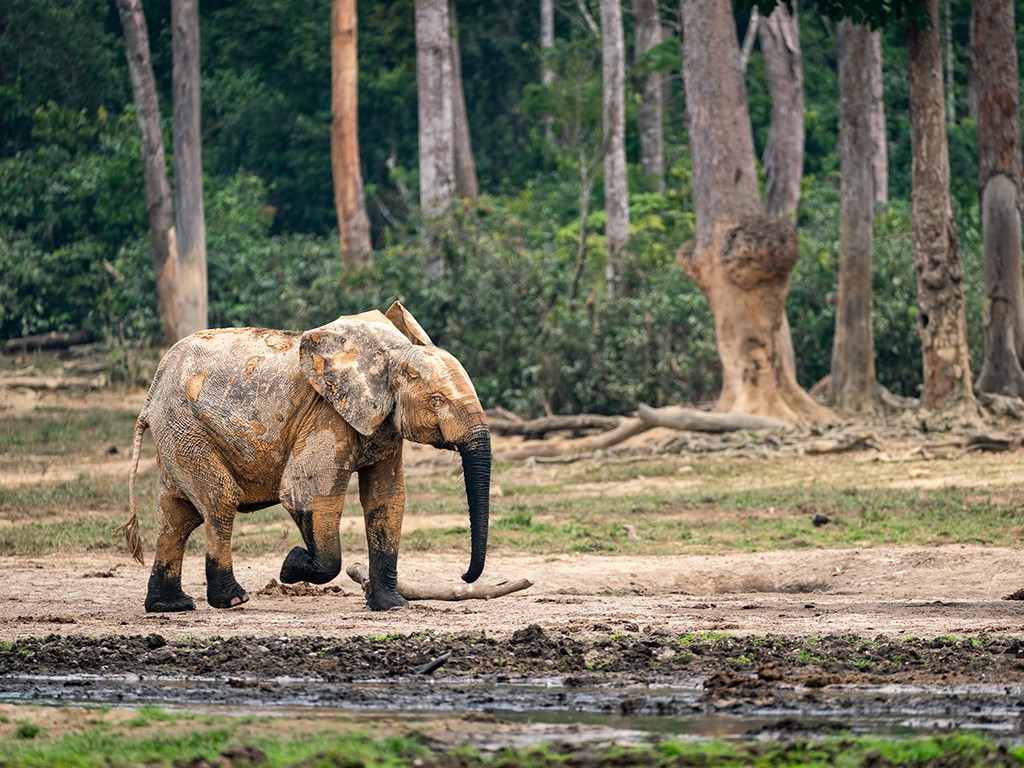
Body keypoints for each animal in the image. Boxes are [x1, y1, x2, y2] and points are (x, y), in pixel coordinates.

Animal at [119, 301, 487, 614]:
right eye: (438, 400)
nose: (464, 577)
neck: (392, 355)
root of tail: (152, 391)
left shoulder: (381, 420)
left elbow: (387, 499)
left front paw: (392, 606)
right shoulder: (326, 414)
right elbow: (306, 494)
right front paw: (290, 566)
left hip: (180, 433)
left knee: (177, 514)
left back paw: (171, 606)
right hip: (186, 427)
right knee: (219, 499)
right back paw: (233, 600)